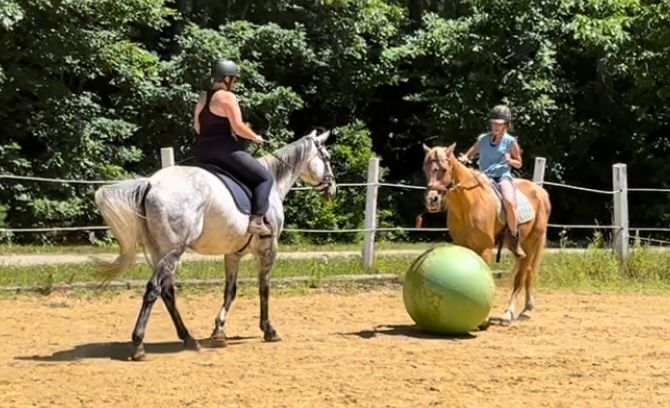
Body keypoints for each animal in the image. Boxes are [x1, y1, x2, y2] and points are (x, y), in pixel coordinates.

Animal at [94, 130, 336, 360]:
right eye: (326, 157)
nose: (332, 188)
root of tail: (152, 183)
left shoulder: (233, 254)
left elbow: (230, 291)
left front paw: (218, 331)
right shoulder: (268, 250)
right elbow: (264, 288)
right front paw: (269, 330)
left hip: (159, 252)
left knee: (168, 292)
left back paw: (189, 339)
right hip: (173, 251)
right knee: (154, 289)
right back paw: (139, 345)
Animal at [426, 143, 552, 326]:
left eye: (443, 169)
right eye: (426, 168)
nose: (432, 199)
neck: (469, 204)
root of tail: (541, 192)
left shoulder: (485, 248)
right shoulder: (462, 245)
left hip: (531, 244)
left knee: (520, 278)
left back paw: (508, 314)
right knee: (528, 273)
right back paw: (526, 310)